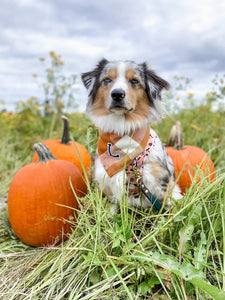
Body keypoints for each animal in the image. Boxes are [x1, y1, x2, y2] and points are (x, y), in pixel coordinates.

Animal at [81, 58, 182, 212]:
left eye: (134, 81)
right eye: (107, 79)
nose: (117, 94)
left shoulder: (160, 182)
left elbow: (166, 208)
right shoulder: (106, 182)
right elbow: (112, 208)